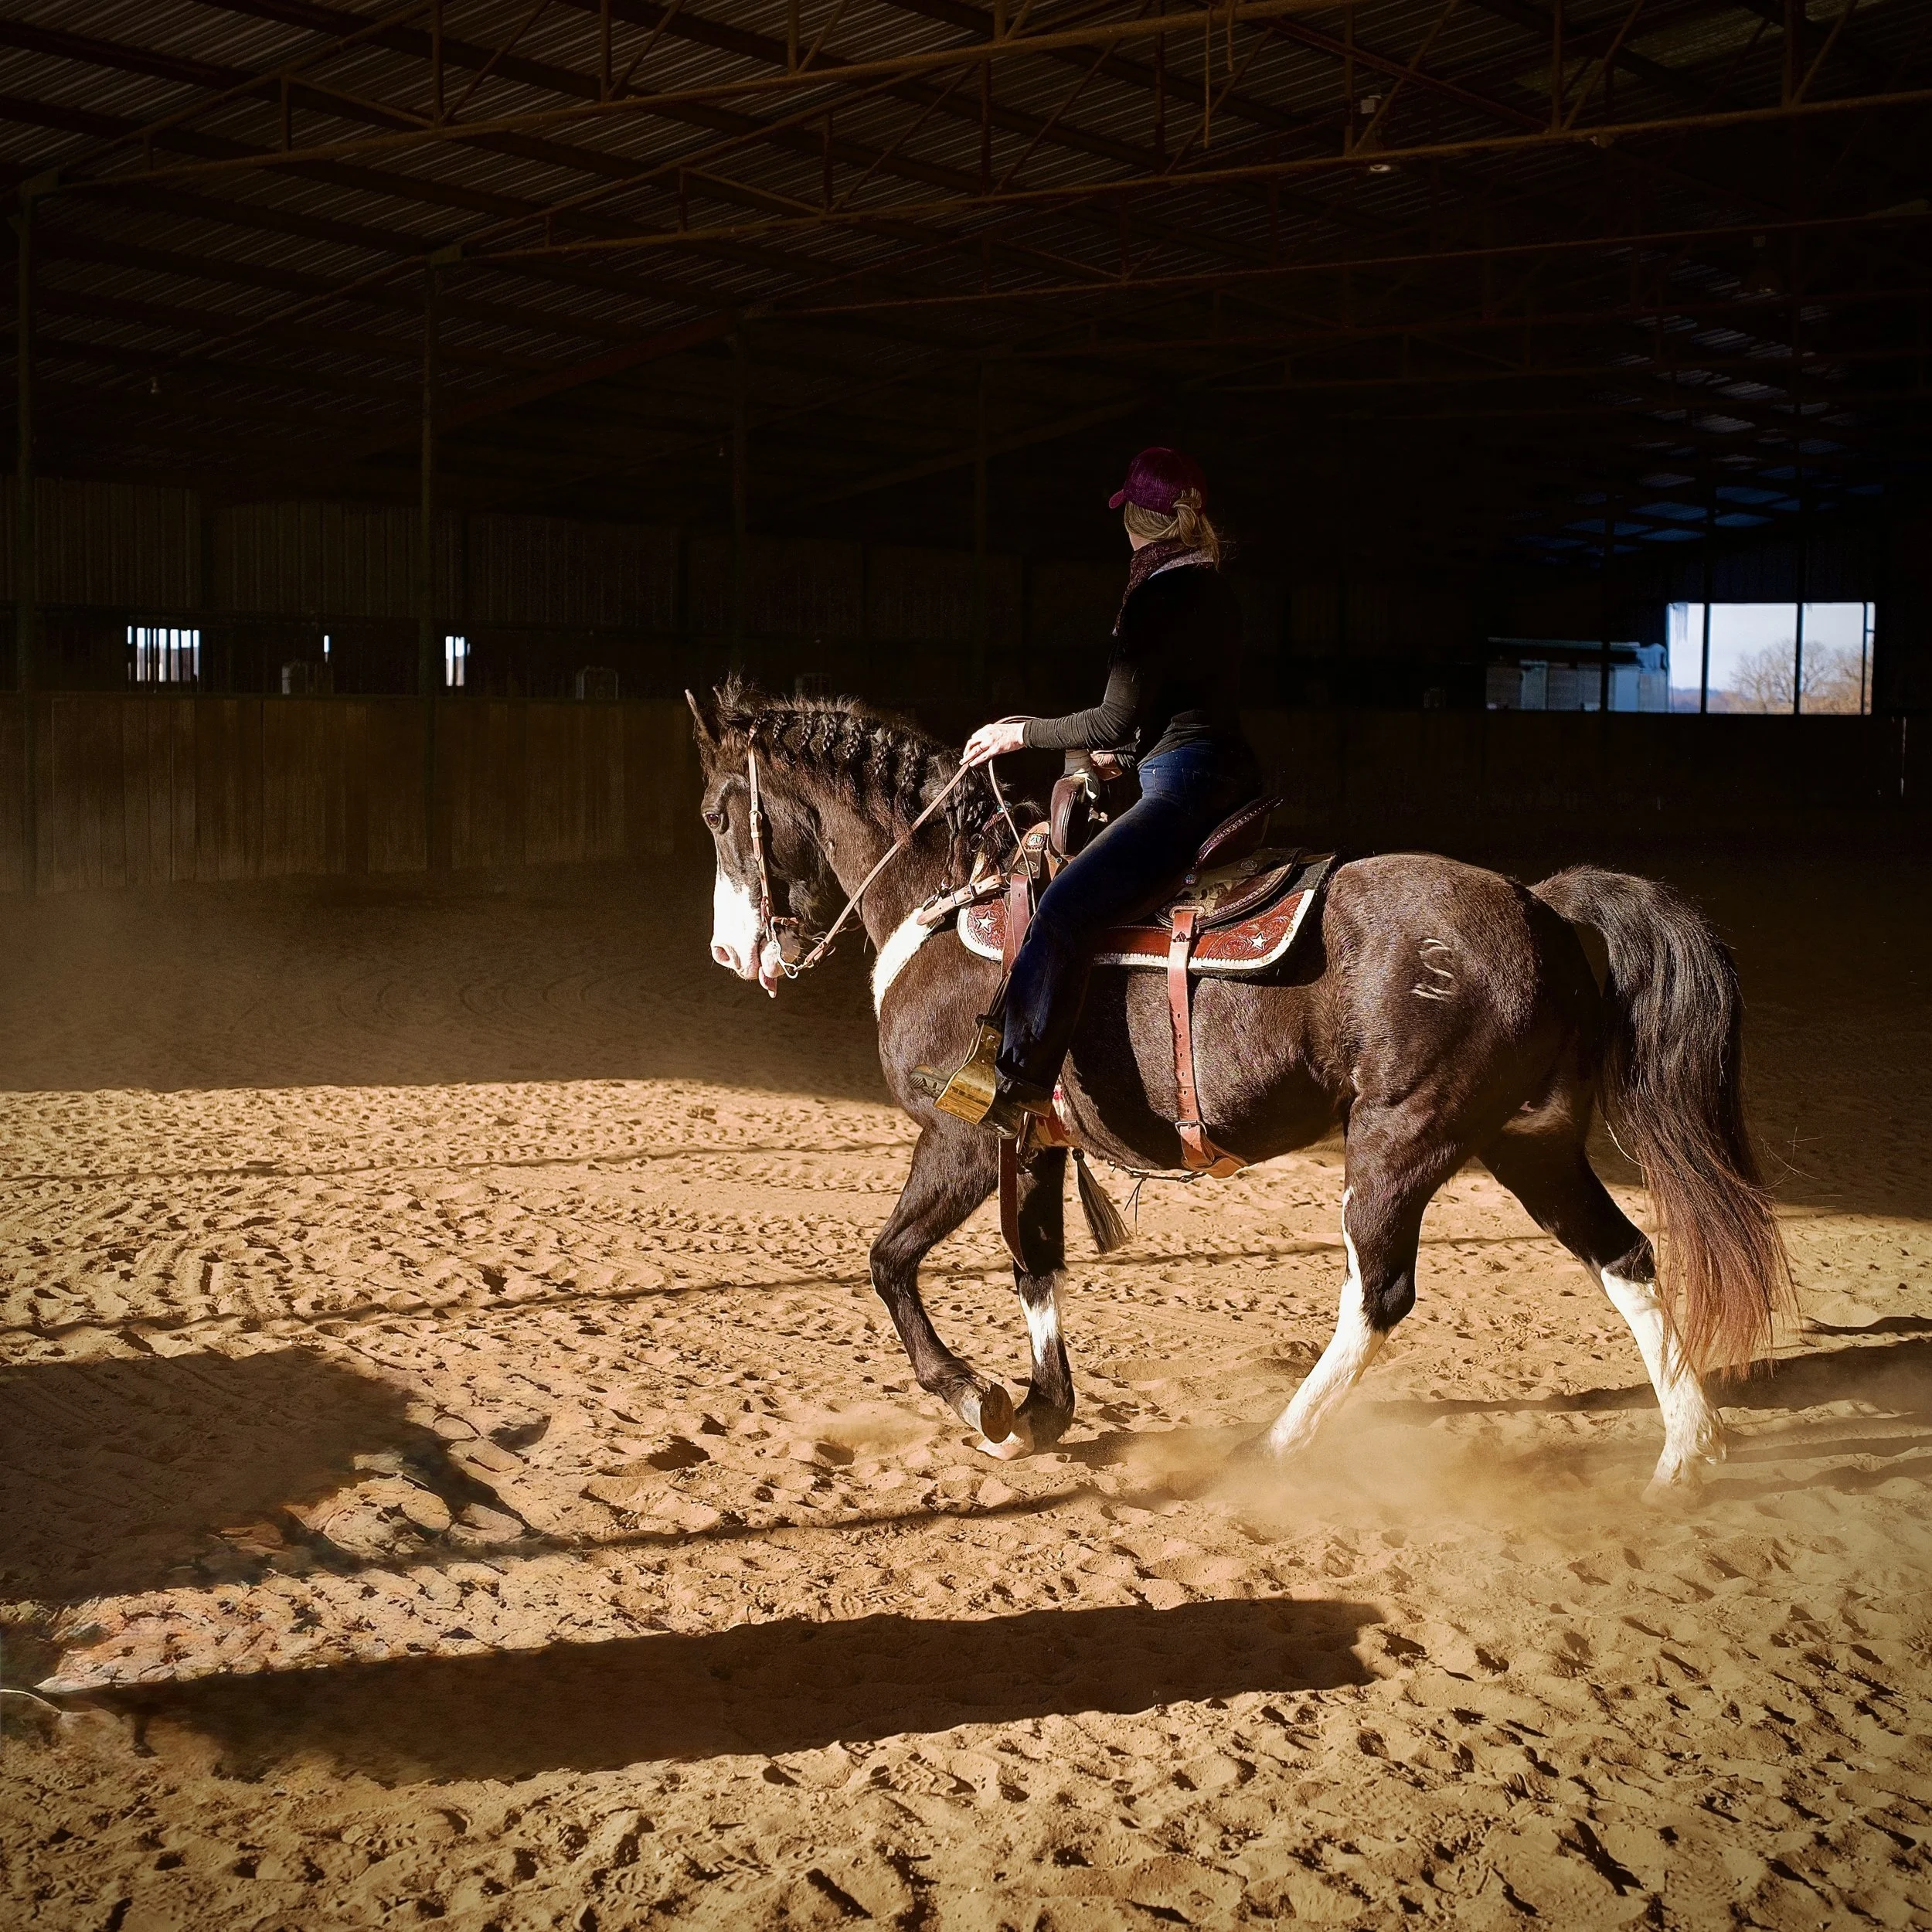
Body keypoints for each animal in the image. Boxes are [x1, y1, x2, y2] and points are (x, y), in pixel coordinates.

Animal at [688, 681, 1792, 1496]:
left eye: (715, 812)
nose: (728, 953)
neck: (952, 899)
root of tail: (1543, 906)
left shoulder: (959, 1136)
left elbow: (889, 1262)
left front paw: (977, 1399)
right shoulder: (1033, 1143)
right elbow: (1034, 1266)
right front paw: (1040, 1411)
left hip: (1401, 1143)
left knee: (1378, 1292)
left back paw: (1274, 1447)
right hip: (1529, 1143)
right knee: (1625, 1255)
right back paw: (1684, 1453)